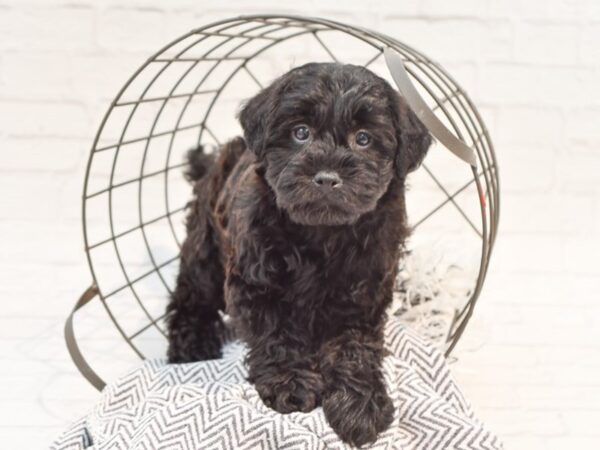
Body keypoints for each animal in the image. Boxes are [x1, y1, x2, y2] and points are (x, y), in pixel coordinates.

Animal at [165, 62, 432, 446]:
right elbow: (277, 334)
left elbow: (354, 347)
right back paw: (192, 344)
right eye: (301, 133)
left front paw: (360, 404)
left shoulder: (363, 295)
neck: (322, 232)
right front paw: (290, 383)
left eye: (364, 139)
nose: (327, 178)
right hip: (206, 245)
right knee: (190, 295)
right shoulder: (255, 282)